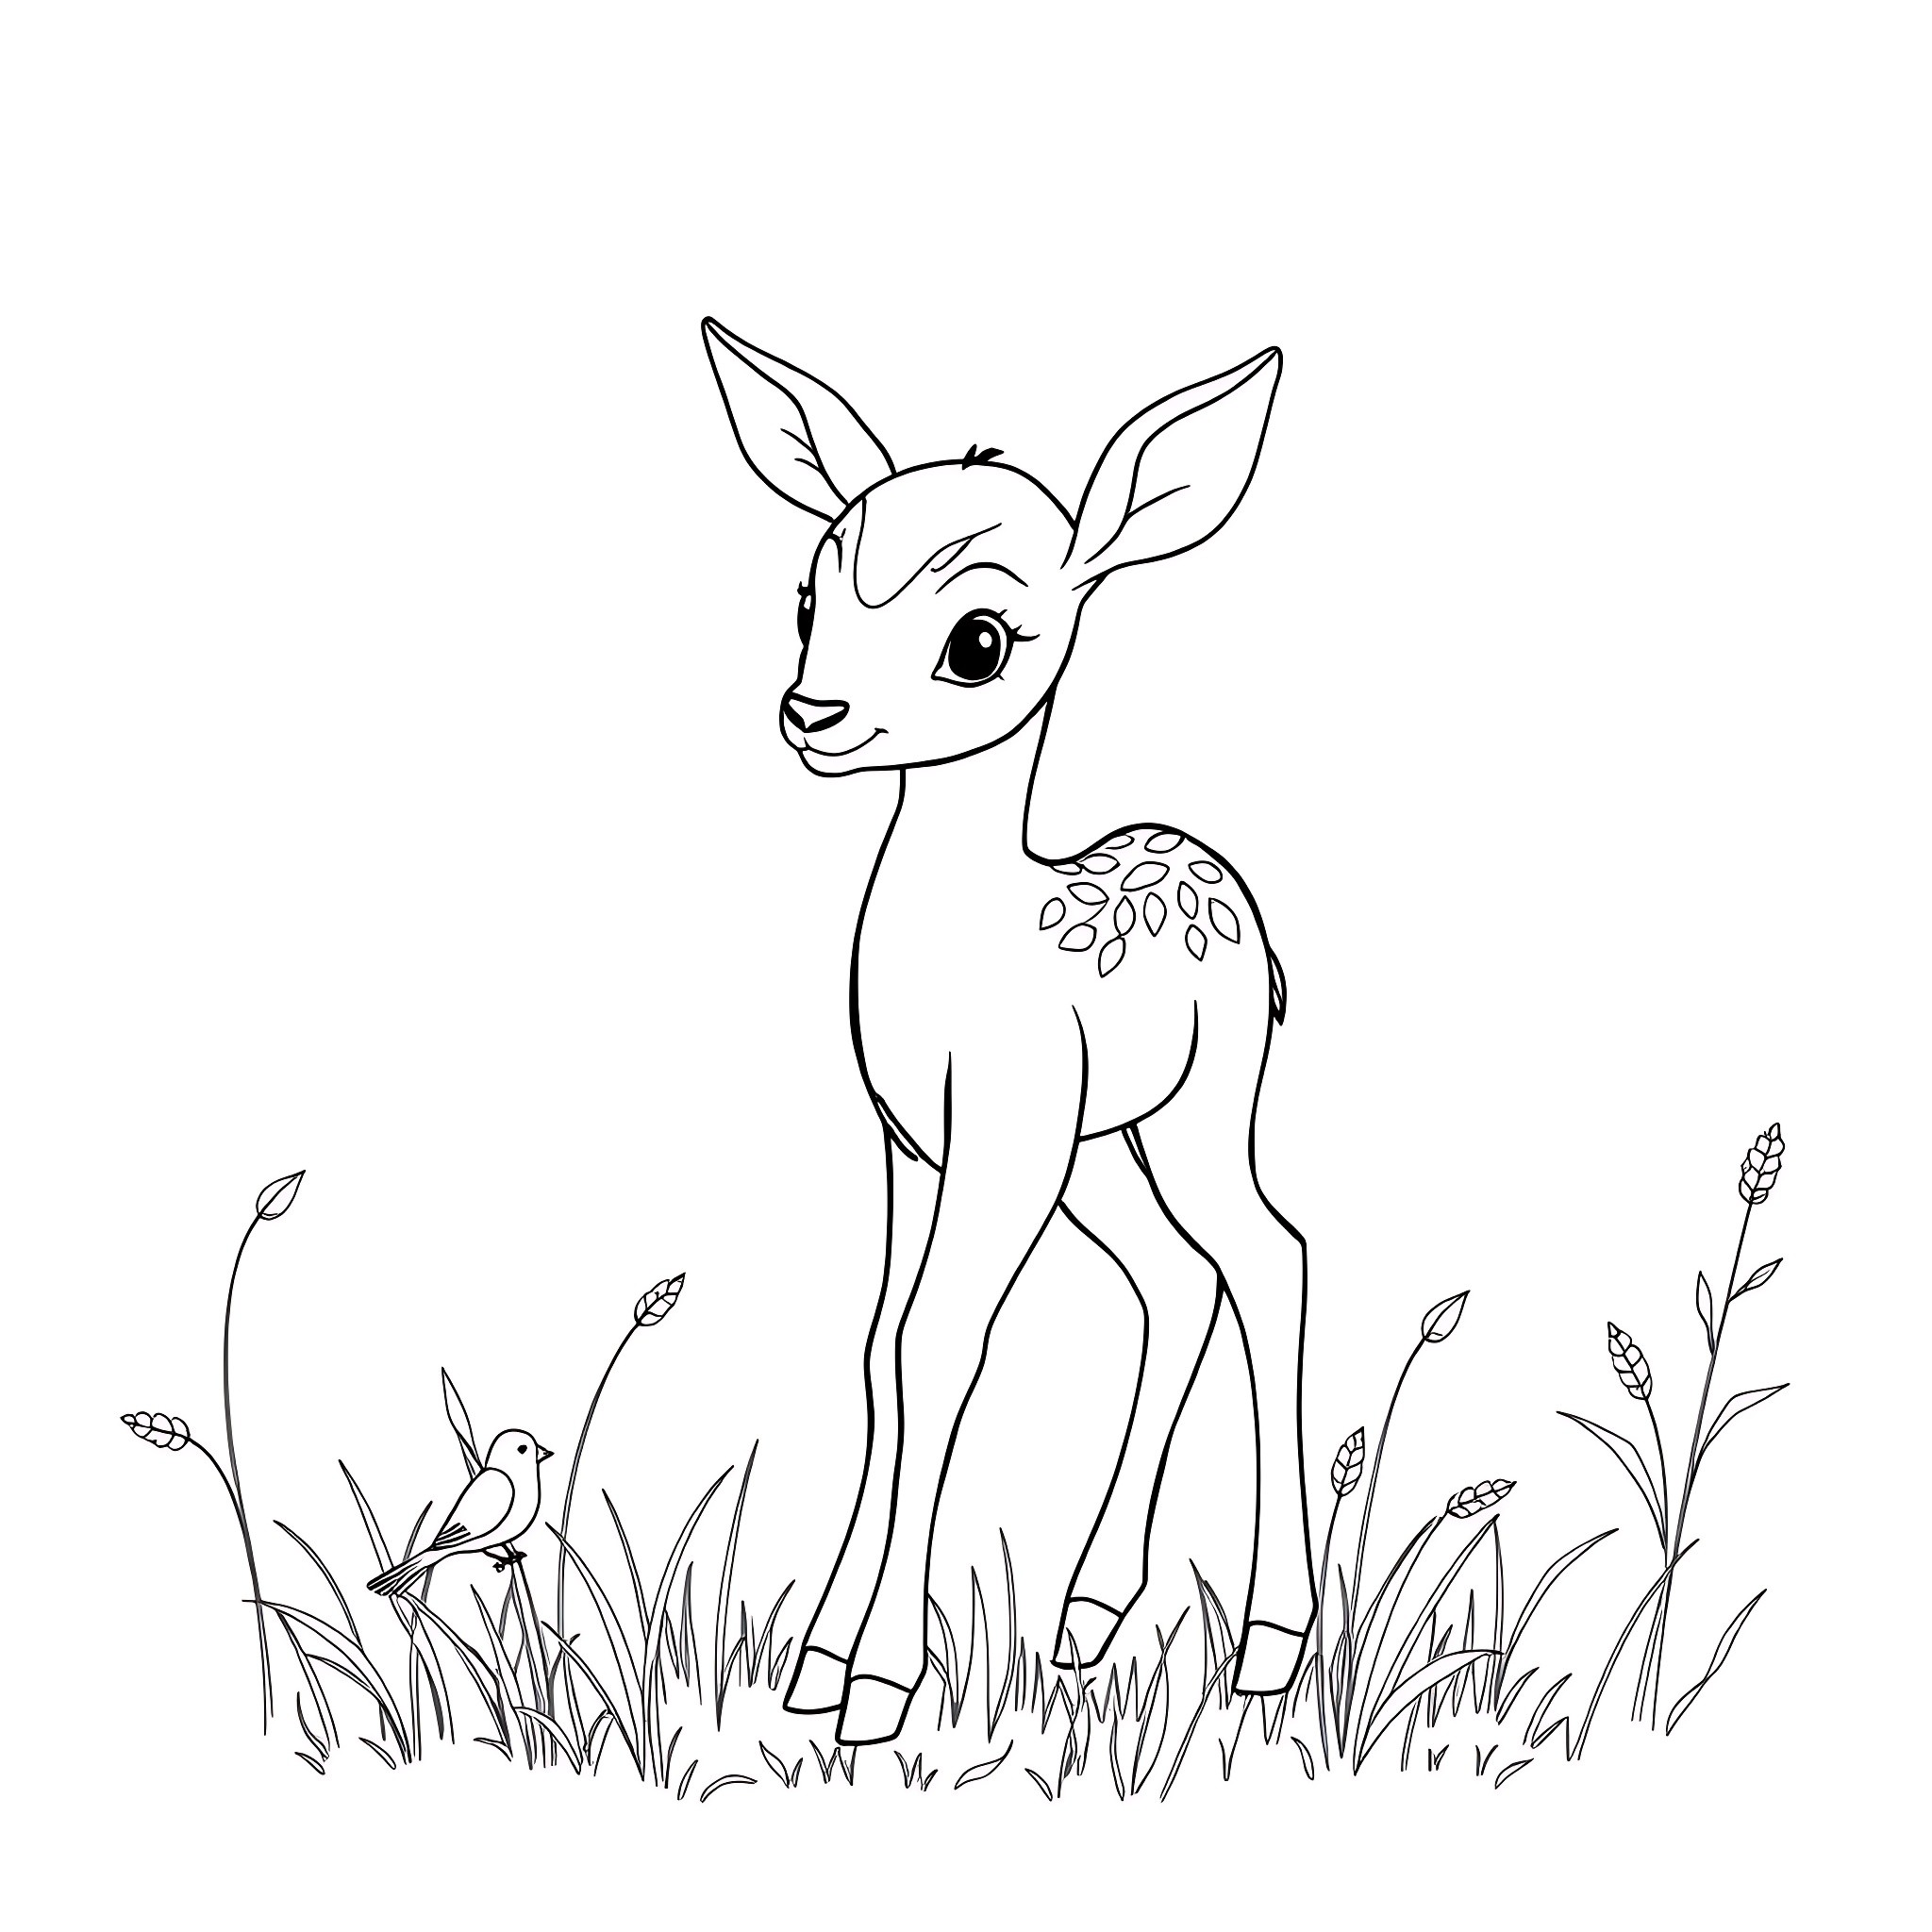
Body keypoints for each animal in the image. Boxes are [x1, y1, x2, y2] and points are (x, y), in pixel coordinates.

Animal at [700, 318, 1316, 1746]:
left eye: (977, 640)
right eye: (806, 600)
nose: (811, 715)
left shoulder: (996, 1143)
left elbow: (943, 1344)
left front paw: (877, 1686)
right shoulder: (914, 1145)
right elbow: (881, 1350)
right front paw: (816, 1665)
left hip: (1190, 1118)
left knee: (1270, 1256)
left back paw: (1269, 1646)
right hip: (1094, 1152)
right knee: (1177, 1277)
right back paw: (1089, 1616)